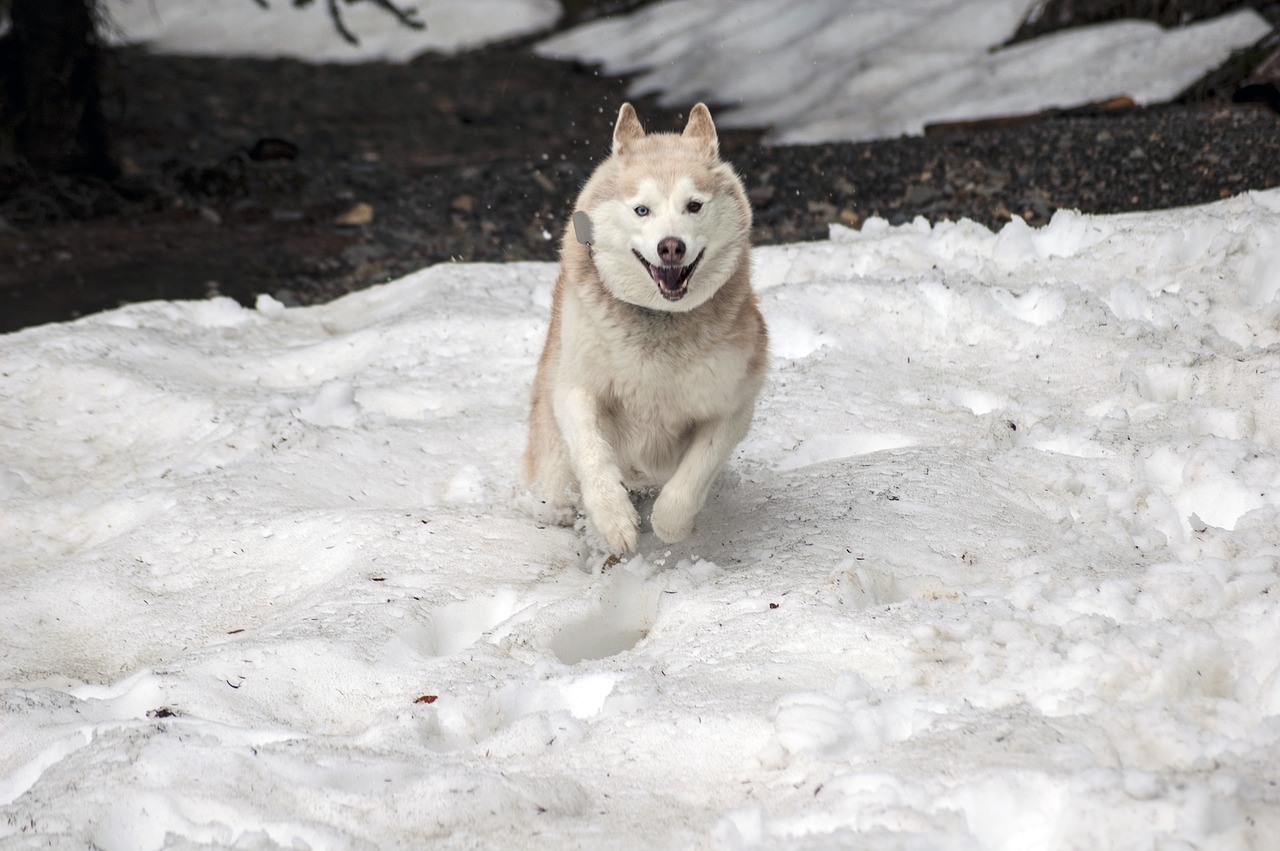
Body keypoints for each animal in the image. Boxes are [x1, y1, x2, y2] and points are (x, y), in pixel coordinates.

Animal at [522, 103, 762, 550]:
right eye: (641, 209)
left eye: (694, 205)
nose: (671, 247)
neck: (659, 320)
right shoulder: (577, 388)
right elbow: (593, 452)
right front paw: (614, 519)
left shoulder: (732, 402)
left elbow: (696, 471)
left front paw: (671, 523)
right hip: (553, 466)